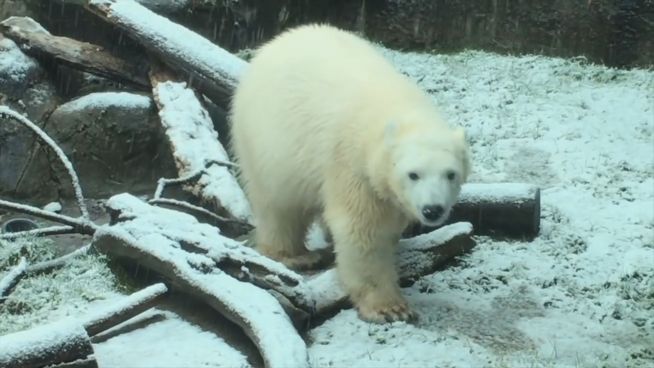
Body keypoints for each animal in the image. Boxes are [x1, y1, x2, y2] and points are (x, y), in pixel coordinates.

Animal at [231, 24, 472, 322]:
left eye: (451, 174)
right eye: (413, 174)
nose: (432, 210)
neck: (395, 109)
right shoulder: (350, 163)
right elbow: (362, 230)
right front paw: (391, 308)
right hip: (267, 140)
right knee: (279, 204)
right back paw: (294, 255)